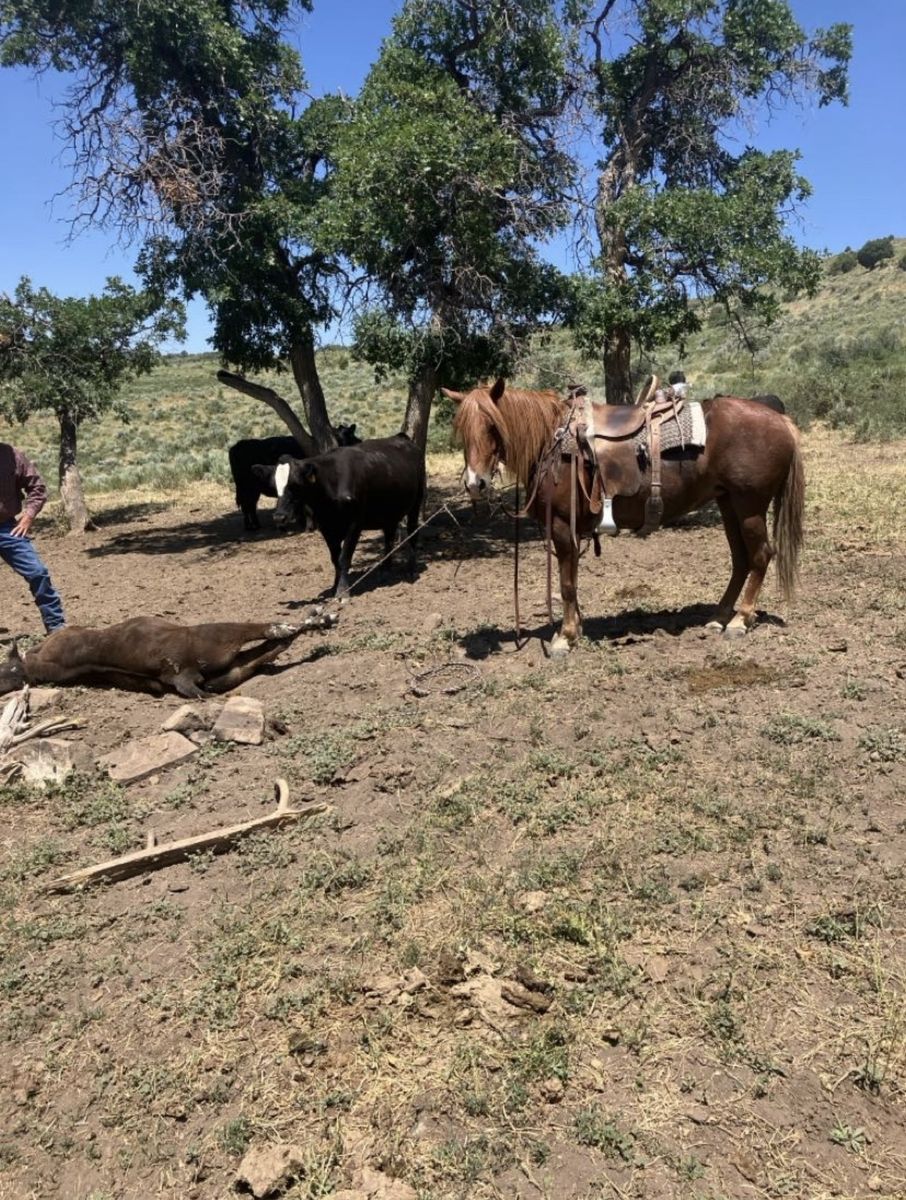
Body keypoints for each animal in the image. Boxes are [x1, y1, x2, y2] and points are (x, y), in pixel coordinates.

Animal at [444, 378, 804, 653]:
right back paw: (719, 617)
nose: (475, 483)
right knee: (741, 559)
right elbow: (572, 579)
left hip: (749, 506)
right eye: (461, 429)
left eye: (492, 425)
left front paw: (566, 637)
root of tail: (779, 419)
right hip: (729, 504)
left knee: (760, 555)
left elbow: (566, 583)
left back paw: (741, 620)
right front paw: (576, 628)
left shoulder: (561, 526)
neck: (553, 443)